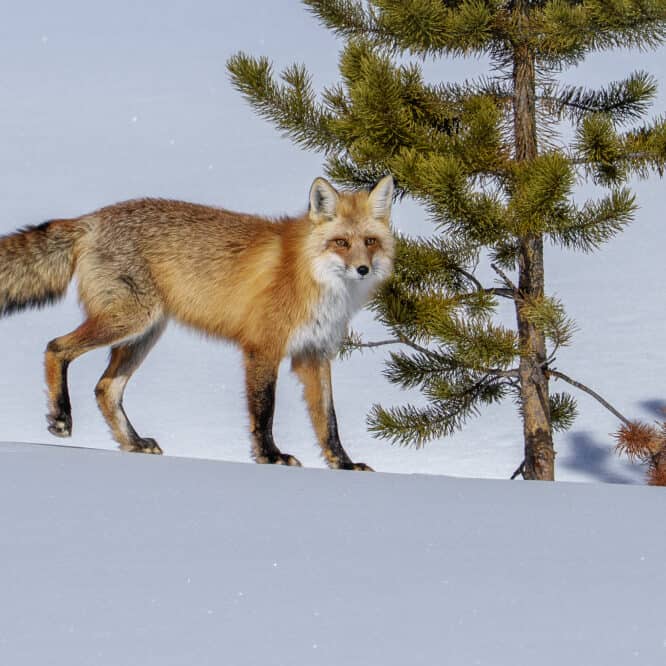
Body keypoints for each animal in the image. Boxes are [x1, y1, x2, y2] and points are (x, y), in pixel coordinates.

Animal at [0, 175, 395, 470]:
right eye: (340, 242)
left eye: (370, 241)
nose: (363, 269)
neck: (312, 277)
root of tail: (92, 217)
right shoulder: (262, 348)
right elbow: (264, 412)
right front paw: (270, 457)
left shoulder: (314, 354)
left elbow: (328, 422)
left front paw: (344, 464)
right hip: (129, 319)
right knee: (55, 347)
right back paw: (61, 416)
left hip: (145, 333)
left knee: (105, 389)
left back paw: (134, 443)